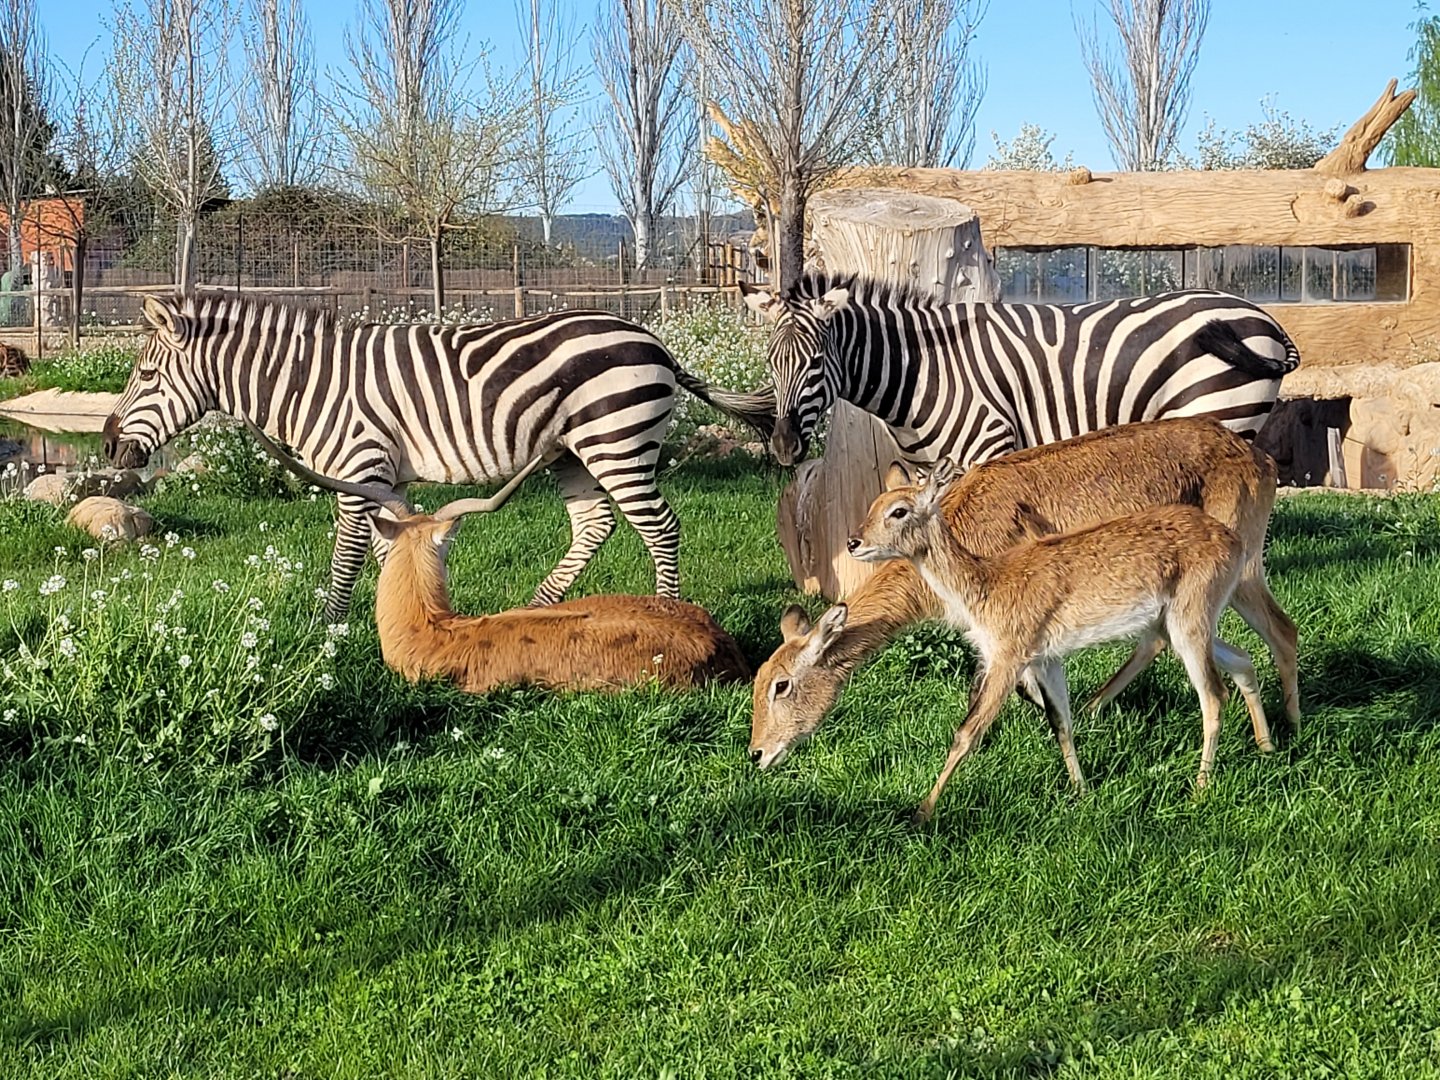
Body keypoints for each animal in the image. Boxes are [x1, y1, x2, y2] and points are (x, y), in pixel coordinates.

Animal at [104, 294, 775, 620]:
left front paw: (327, 633)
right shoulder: (382, 481)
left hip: (617, 441)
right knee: (595, 524)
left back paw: (668, 613)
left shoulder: (359, 467)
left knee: (661, 527)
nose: (108, 444)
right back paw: (536, 607)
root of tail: (653, 340)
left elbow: (347, 560)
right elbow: (390, 549)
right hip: (569, 452)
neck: (309, 382)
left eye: (145, 375)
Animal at [740, 273, 1300, 467]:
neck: (919, 373)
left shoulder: (990, 445)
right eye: (770, 363)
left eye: (815, 362)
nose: (783, 447)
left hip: (1223, 413)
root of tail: (1263, 315)